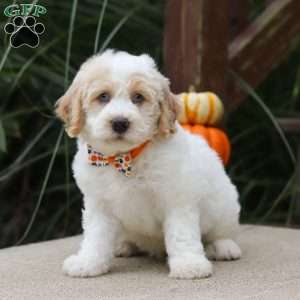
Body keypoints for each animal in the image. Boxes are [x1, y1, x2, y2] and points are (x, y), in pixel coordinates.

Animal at [56, 49, 241, 278]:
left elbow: (181, 234)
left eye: (138, 97)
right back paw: (123, 245)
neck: (125, 158)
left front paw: (189, 265)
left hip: (225, 205)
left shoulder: (177, 199)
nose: (120, 122)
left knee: (221, 231)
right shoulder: (98, 203)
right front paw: (88, 263)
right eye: (103, 96)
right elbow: (96, 236)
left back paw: (224, 247)